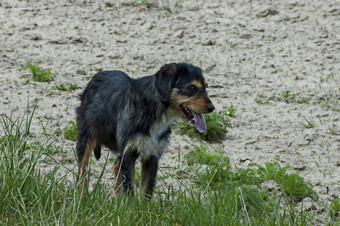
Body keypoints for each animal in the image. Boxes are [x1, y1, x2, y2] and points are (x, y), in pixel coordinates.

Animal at [76, 62, 215, 198]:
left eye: (206, 87)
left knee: (115, 165)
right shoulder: (128, 154)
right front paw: (129, 205)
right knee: (82, 171)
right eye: (191, 87)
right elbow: (130, 190)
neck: (154, 109)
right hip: (86, 138)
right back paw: (81, 197)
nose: (212, 108)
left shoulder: (152, 156)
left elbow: (146, 191)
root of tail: (97, 76)